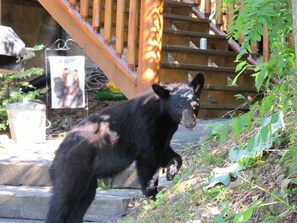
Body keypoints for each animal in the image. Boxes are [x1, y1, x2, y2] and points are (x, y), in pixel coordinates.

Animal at [46, 72, 204, 222]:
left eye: (195, 105)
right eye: (178, 107)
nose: (190, 123)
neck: (164, 117)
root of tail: (58, 152)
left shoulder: (162, 135)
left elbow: (169, 154)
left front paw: (171, 172)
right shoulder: (146, 128)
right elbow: (148, 163)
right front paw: (153, 195)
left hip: (88, 179)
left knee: (83, 201)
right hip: (73, 167)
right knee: (63, 199)